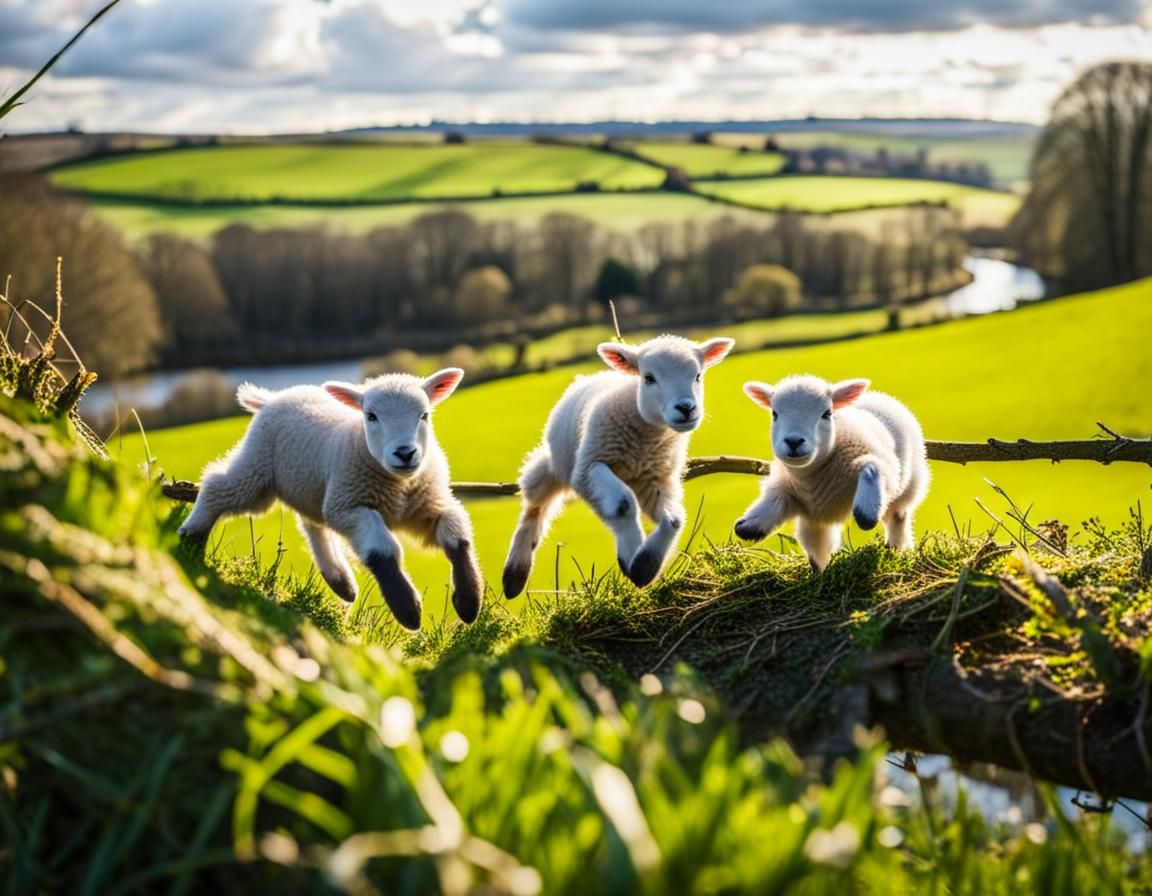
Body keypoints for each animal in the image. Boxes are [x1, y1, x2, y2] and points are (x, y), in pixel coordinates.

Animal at [177, 369, 481, 631]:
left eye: (424, 415)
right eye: (371, 416)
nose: (405, 453)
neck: (398, 487)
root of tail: (272, 398)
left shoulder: (430, 505)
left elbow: (457, 536)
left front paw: (469, 601)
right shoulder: (349, 508)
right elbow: (382, 549)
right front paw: (407, 608)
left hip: (310, 486)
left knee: (312, 524)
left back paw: (341, 582)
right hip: (257, 469)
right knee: (218, 487)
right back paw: (190, 541)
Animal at [502, 334, 735, 597]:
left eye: (697, 376)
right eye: (648, 378)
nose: (686, 408)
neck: (644, 441)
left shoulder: (656, 479)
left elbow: (673, 520)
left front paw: (645, 566)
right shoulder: (589, 467)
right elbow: (623, 505)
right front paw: (631, 556)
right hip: (555, 464)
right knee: (534, 509)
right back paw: (514, 575)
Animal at [733, 374, 929, 571]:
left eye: (827, 413)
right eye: (774, 414)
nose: (794, 441)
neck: (812, 478)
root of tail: (879, 396)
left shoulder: (884, 463)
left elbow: (872, 469)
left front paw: (866, 513)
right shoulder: (795, 499)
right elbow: (763, 515)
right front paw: (748, 524)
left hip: (909, 486)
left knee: (897, 518)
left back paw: (896, 551)